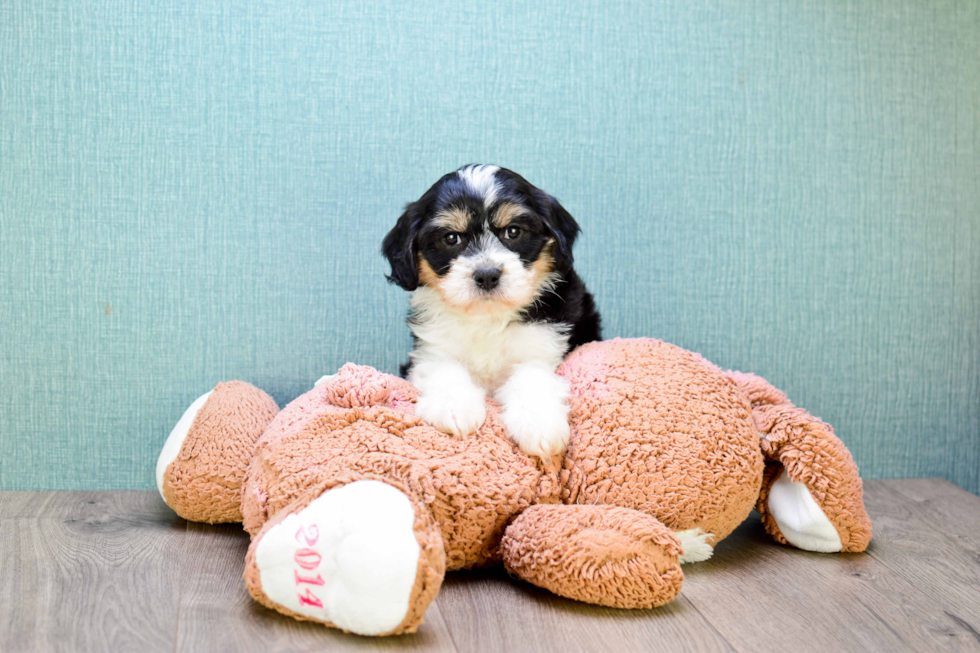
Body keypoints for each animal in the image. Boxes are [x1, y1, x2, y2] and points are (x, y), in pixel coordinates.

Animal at [380, 163, 596, 458]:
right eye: (451, 238)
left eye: (513, 232)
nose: (486, 275)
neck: (487, 318)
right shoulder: (429, 351)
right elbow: (442, 369)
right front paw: (454, 407)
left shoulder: (544, 347)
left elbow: (532, 375)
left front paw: (539, 425)